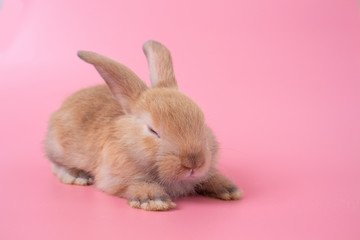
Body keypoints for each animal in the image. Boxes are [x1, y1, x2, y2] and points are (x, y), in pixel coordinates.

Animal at [44, 40, 242, 211]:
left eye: (202, 122)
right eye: (153, 130)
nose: (194, 163)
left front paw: (230, 190)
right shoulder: (116, 179)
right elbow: (137, 184)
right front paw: (155, 201)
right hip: (58, 148)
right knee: (56, 165)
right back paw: (77, 175)